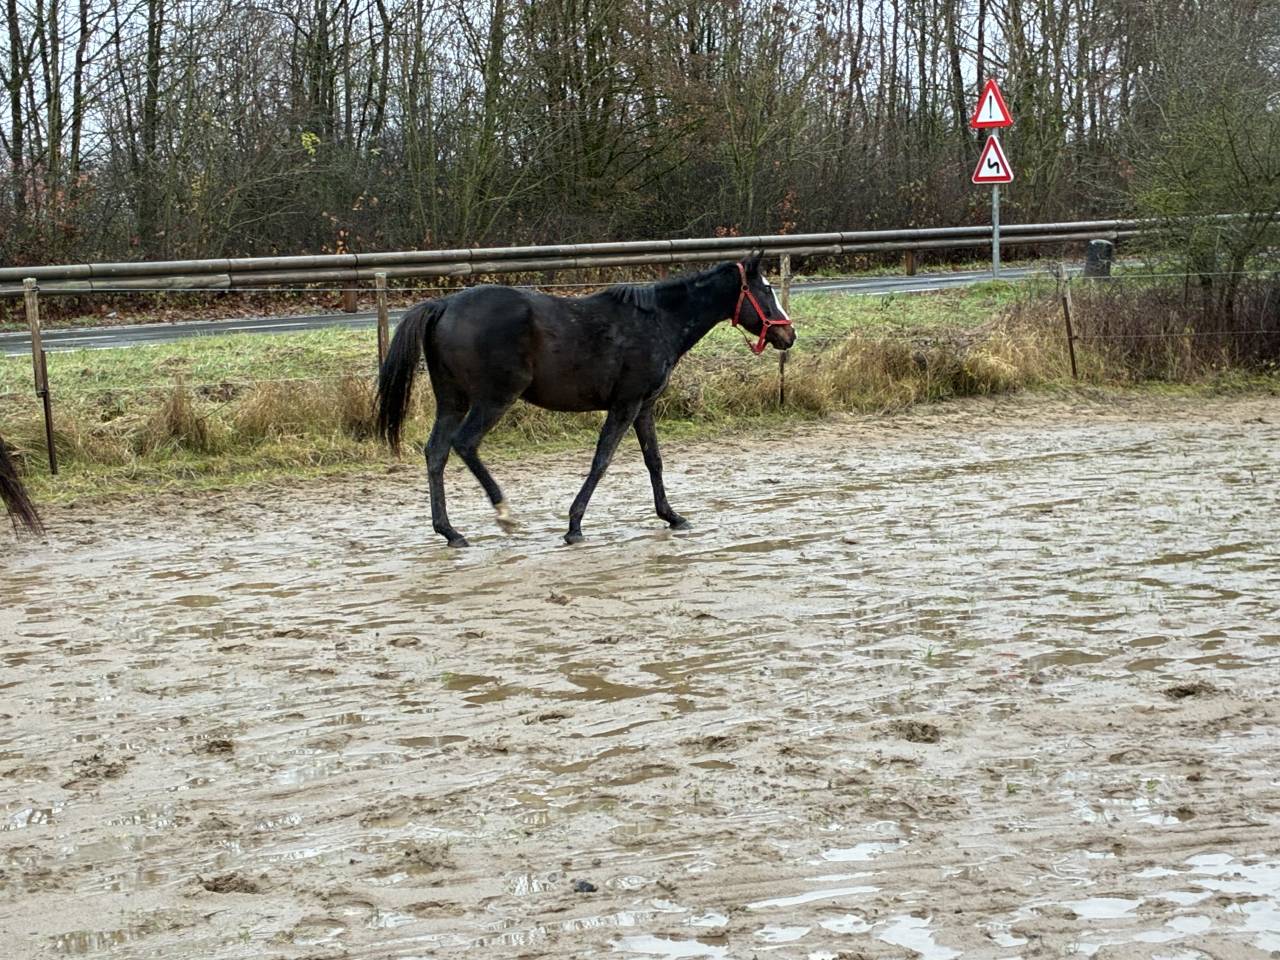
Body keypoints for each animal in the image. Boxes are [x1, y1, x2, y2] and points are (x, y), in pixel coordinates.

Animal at [376, 255, 795, 546]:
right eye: (765, 290)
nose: (788, 335)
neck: (658, 320)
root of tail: (443, 306)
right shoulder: (625, 405)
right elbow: (602, 461)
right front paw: (574, 525)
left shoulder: (643, 406)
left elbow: (654, 461)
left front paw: (673, 516)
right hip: (493, 398)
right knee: (464, 444)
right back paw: (504, 513)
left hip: (452, 400)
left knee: (436, 452)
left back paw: (450, 532)